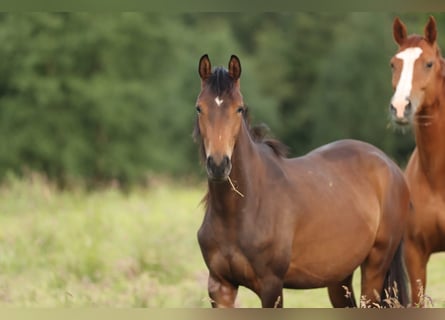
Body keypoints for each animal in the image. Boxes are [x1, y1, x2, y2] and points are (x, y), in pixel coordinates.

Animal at [194, 55, 410, 308]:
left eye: (239, 108)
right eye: (199, 108)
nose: (218, 164)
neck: (240, 210)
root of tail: (391, 166)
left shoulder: (271, 287)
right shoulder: (220, 287)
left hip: (375, 267)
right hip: (339, 276)